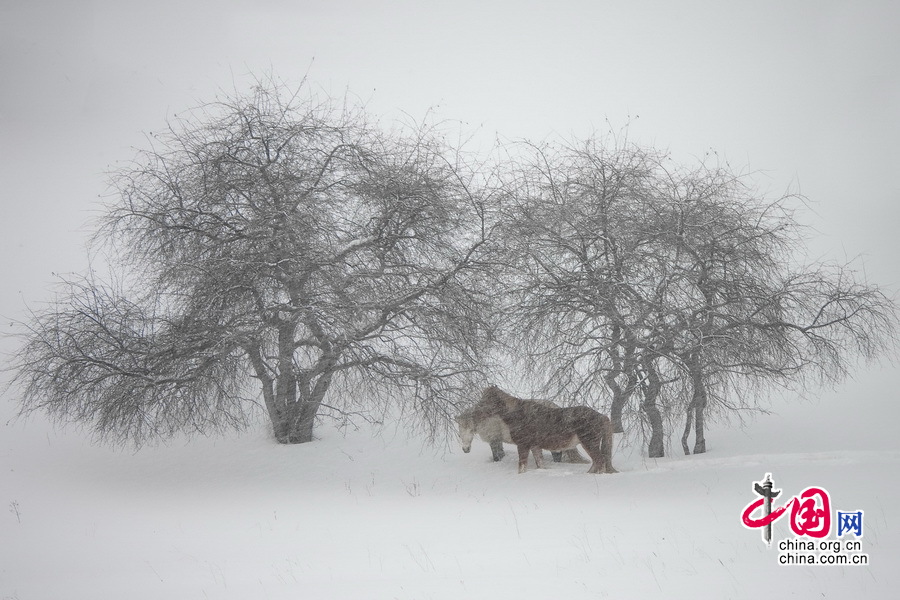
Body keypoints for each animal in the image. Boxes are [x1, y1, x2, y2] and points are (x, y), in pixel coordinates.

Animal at [458, 404, 592, 464]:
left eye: (471, 430)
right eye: (459, 434)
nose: (465, 449)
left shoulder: (494, 439)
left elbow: (496, 455)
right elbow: (501, 453)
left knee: (557, 454)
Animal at [472, 386, 620, 476]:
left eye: (486, 400)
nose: (475, 414)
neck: (518, 414)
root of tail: (601, 416)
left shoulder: (523, 445)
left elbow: (522, 465)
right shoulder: (535, 446)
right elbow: (540, 463)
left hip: (589, 443)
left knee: (600, 461)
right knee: (596, 462)